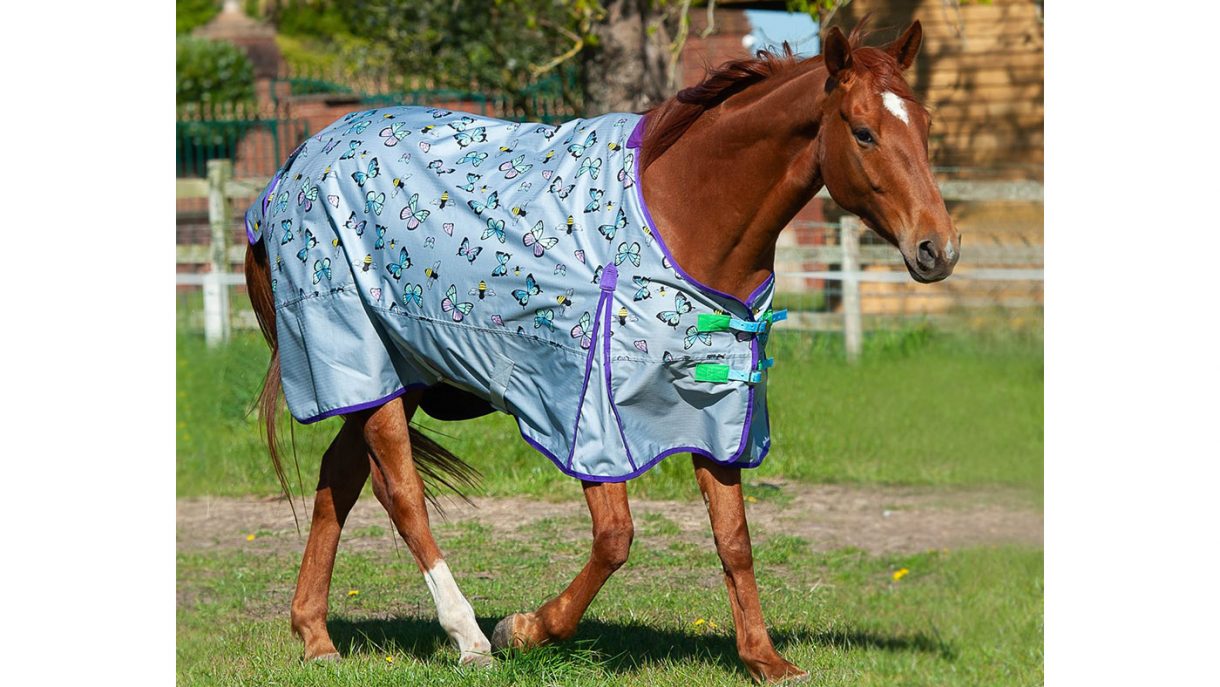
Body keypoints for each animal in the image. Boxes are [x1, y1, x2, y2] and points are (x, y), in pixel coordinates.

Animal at [243, 20, 957, 683]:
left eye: (925, 124)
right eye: (862, 132)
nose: (938, 249)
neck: (681, 216)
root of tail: (291, 169)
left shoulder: (719, 408)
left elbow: (735, 539)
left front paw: (765, 660)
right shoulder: (587, 412)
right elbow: (616, 539)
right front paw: (524, 630)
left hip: (395, 376)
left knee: (340, 477)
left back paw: (315, 636)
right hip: (361, 360)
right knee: (402, 494)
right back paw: (467, 635)